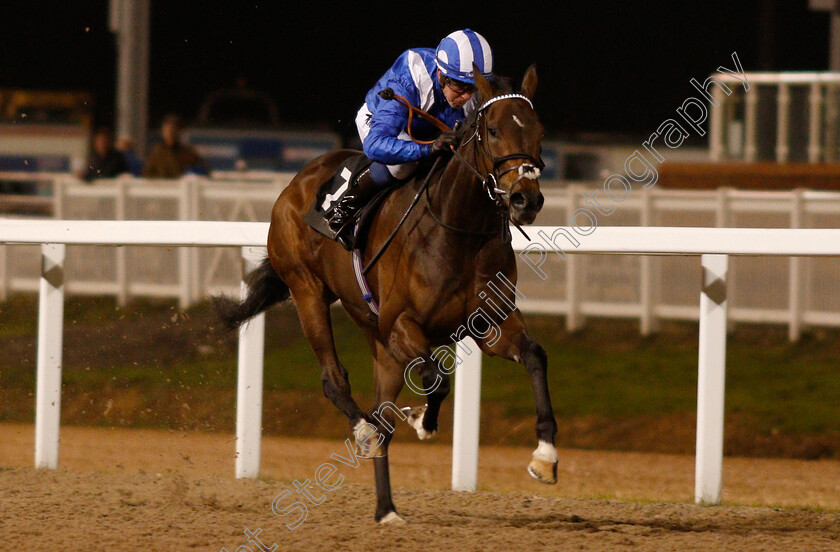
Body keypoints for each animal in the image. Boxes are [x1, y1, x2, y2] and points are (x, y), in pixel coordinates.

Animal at [217, 63, 556, 520]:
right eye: (493, 129)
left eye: (539, 130)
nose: (525, 199)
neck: (460, 229)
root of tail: (297, 182)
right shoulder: (401, 325)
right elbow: (436, 378)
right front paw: (423, 420)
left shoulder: (490, 325)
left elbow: (534, 357)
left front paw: (545, 455)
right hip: (308, 291)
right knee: (336, 382)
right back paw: (364, 431)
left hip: (378, 341)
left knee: (381, 414)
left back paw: (386, 508)